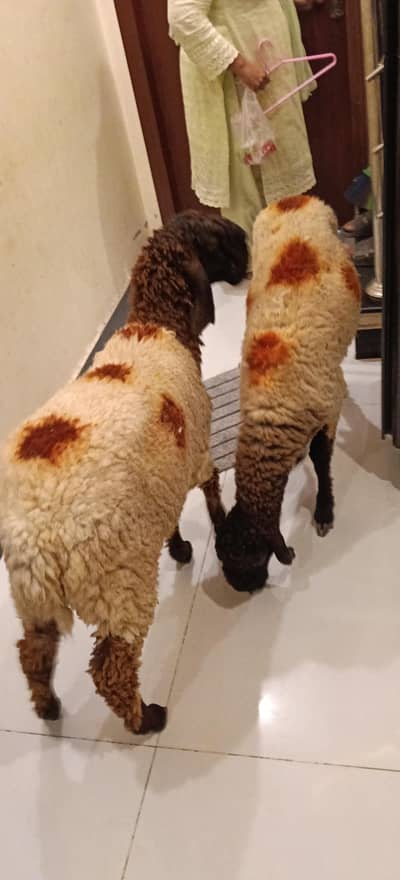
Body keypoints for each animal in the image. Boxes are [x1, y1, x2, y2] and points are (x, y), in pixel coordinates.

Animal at [0, 211, 248, 734]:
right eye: (223, 238)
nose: (250, 255)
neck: (157, 323)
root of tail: (35, 540)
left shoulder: (159, 477)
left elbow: (172, 517)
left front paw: (179, 547)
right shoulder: (196, 450)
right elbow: (213, 494)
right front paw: (216, 533)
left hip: (32, 602)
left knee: (32, 653)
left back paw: (48, 708)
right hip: (117, 586)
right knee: (110, 669)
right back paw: (145, 718)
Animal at [215, 195, 361, 593]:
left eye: (251, 556)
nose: (242, 588)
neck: (272, 405)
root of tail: (292, 199)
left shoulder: (326, 412)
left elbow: (321, 460)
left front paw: (325, 510)